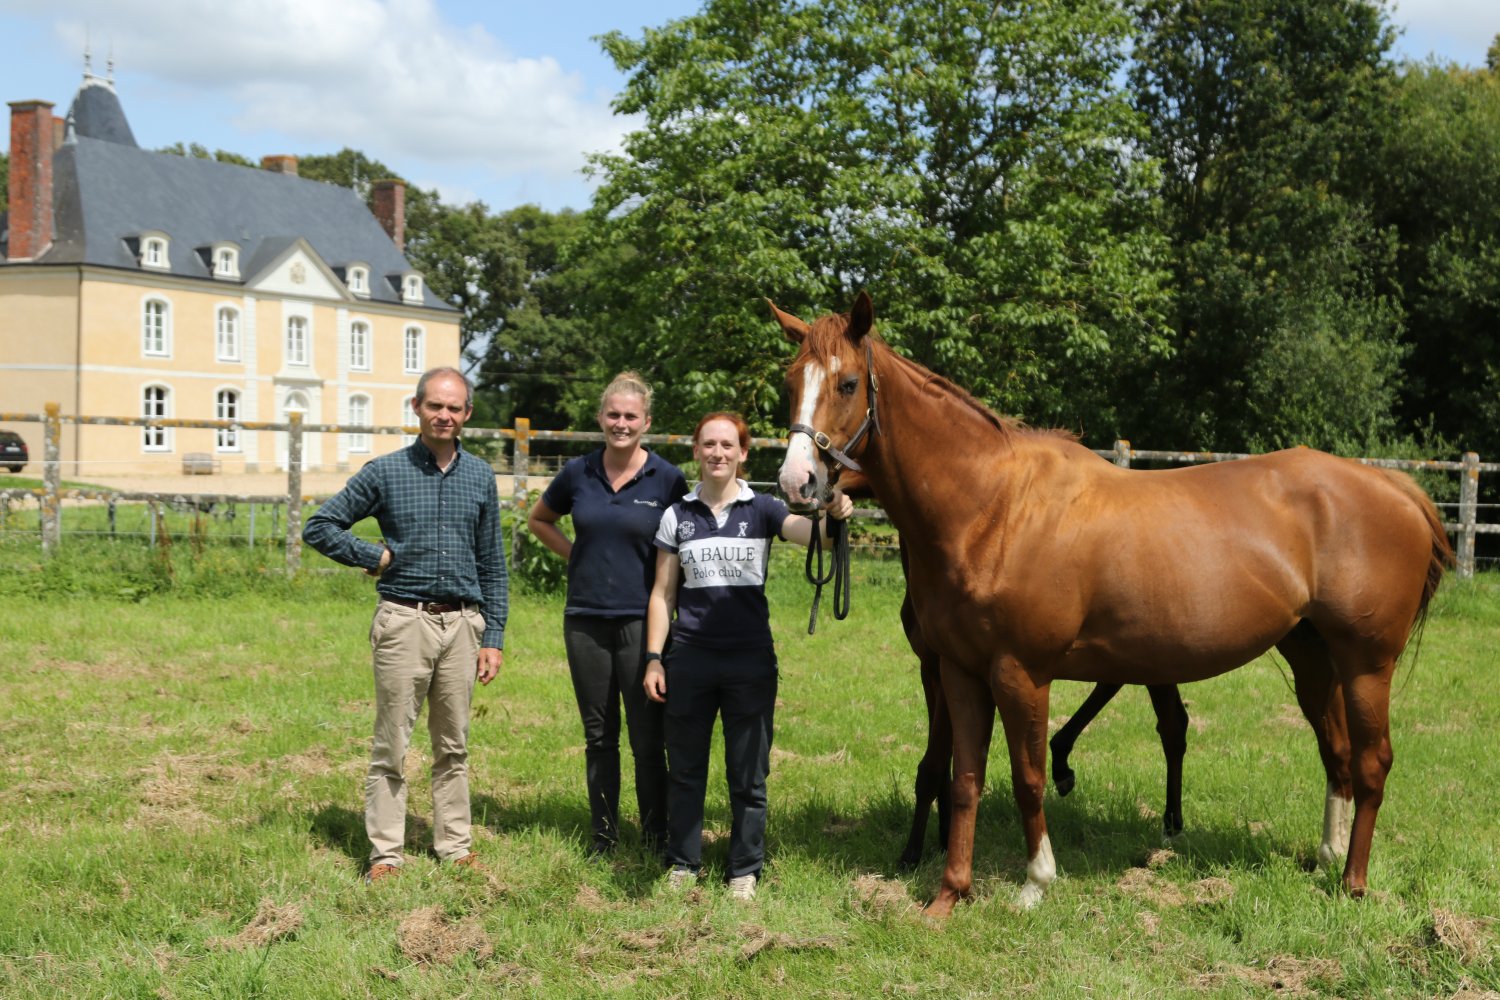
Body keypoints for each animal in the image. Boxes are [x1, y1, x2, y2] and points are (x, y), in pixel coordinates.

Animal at [772, 291, 1451, 914]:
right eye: (791, 382)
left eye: (848, 383)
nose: (797, 483)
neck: (993, 508)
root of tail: (1396, 487)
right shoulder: (960, 672)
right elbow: (963, 780)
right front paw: (948, 896)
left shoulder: (1020, 673)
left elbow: (1028, 777)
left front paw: (1035, 882)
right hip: (1312, 653)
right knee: (1336, 754)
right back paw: (1328, 856)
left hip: (1367, 664)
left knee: (1372, 762)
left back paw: (1353, 883)